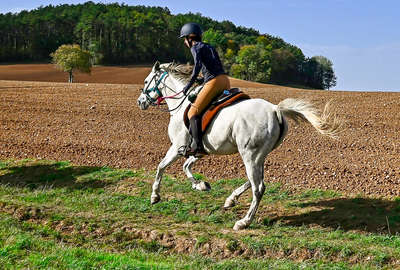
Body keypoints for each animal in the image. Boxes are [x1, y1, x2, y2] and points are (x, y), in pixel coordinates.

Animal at [137, 62, 340, 231]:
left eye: (146, 81)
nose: (140, 102)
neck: (182, 105)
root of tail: (275, 109)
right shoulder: (198, 150)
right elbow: (186, 166)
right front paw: (200, 185)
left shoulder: (177, 147)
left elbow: (161, 166)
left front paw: (155, 196)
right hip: (258, 155)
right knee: (254, 180)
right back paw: (231, 200)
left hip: (250, 154)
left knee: (258, 187)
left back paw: (244, 221)